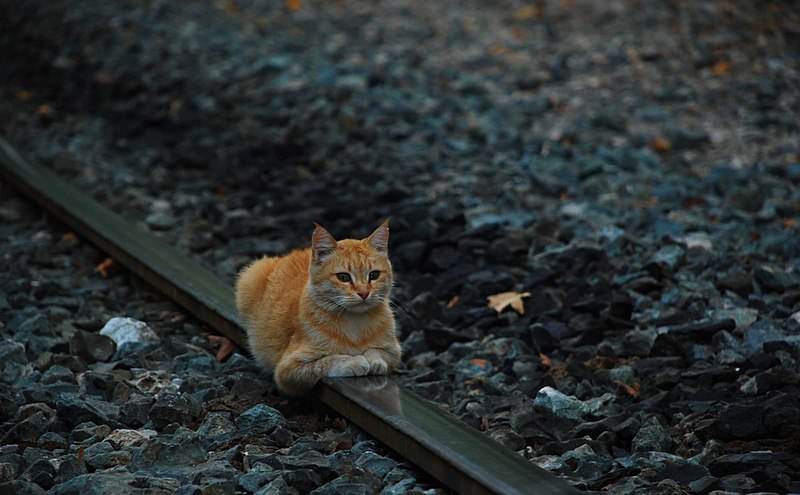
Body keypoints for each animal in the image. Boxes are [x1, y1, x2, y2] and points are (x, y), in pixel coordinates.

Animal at [236, 221, 400, 396]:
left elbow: (378, 352)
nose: (364, 293)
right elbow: (326, 361)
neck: (355, 323)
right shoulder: (288, 369)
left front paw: (373, 359)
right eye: (343, 277)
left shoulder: (394, 352)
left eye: (374, 275)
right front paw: (353, 361)